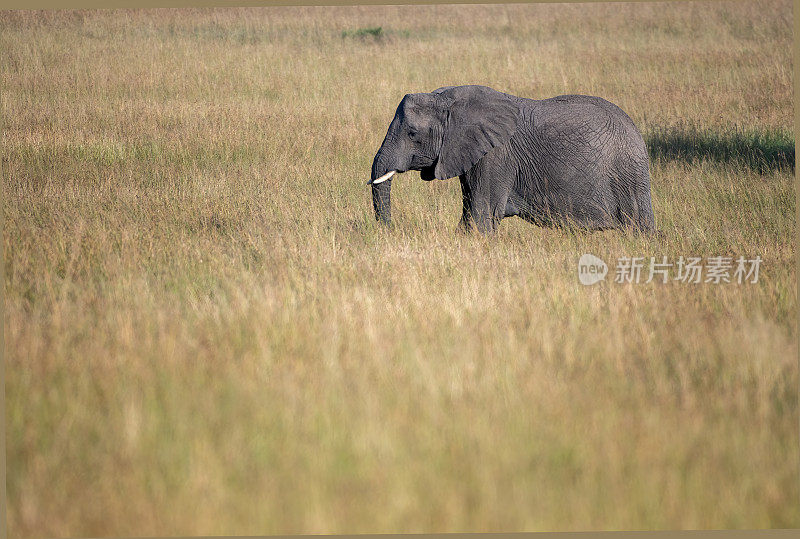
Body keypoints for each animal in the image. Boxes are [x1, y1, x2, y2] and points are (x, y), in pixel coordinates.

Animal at [368, 84, 656, 234]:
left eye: (412, 133)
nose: (392, 229)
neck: (448, 99)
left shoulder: (496, 155)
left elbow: (481, 214)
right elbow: (470, 211)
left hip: (626, 172)